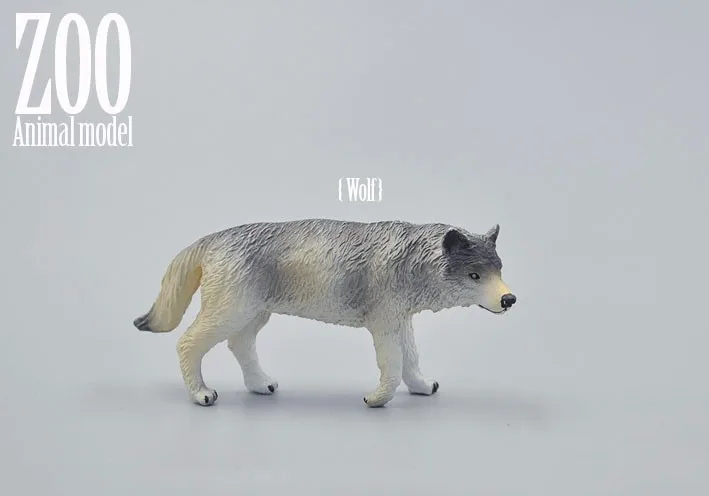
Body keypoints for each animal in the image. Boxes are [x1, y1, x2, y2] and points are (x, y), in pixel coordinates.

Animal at [133, 218, 517, 408]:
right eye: (475, 276)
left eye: (498, 270)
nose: (509, 299)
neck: (411, 259)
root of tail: (212, 239)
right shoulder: (383, 326)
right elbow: (392, 367)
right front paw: (378, 400)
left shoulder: (401, 321)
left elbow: (411, 360)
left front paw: (422, 387)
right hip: (230, 314)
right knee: (187, 344)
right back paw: (201, 394)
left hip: (252, 315)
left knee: (239, 346)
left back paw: (260, 385)